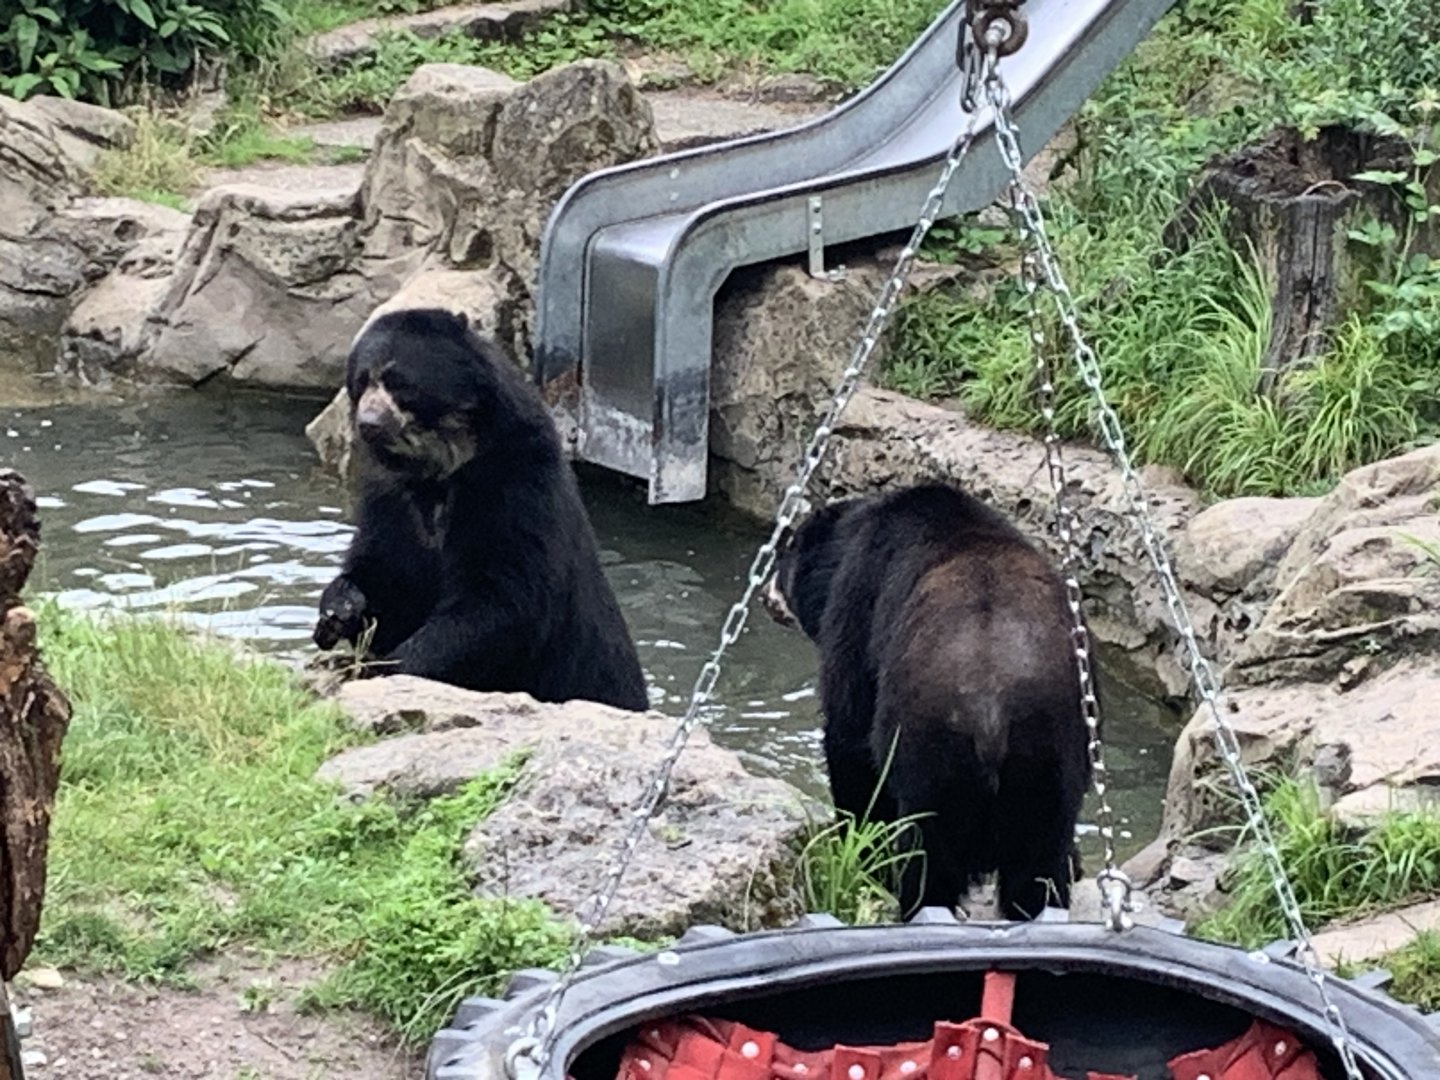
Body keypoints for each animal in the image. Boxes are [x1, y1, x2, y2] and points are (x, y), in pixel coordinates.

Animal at [313, 307, 650, 714]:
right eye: (361, 382)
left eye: (400, 383)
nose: (369, 424)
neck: (438, 470)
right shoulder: (391, 499)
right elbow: (384, 571)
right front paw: (339, 609)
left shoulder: (514, 487)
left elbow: (502, 599)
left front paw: (385, 666)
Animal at [761, 481, 1091, 920]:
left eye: (784, 559)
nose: (764, 595)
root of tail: (993, 712)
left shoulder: (860, 605)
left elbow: (849, 734)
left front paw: (858, 846)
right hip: (1052, 754)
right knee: (1040, 863)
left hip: (931, 750)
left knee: (926, 853)